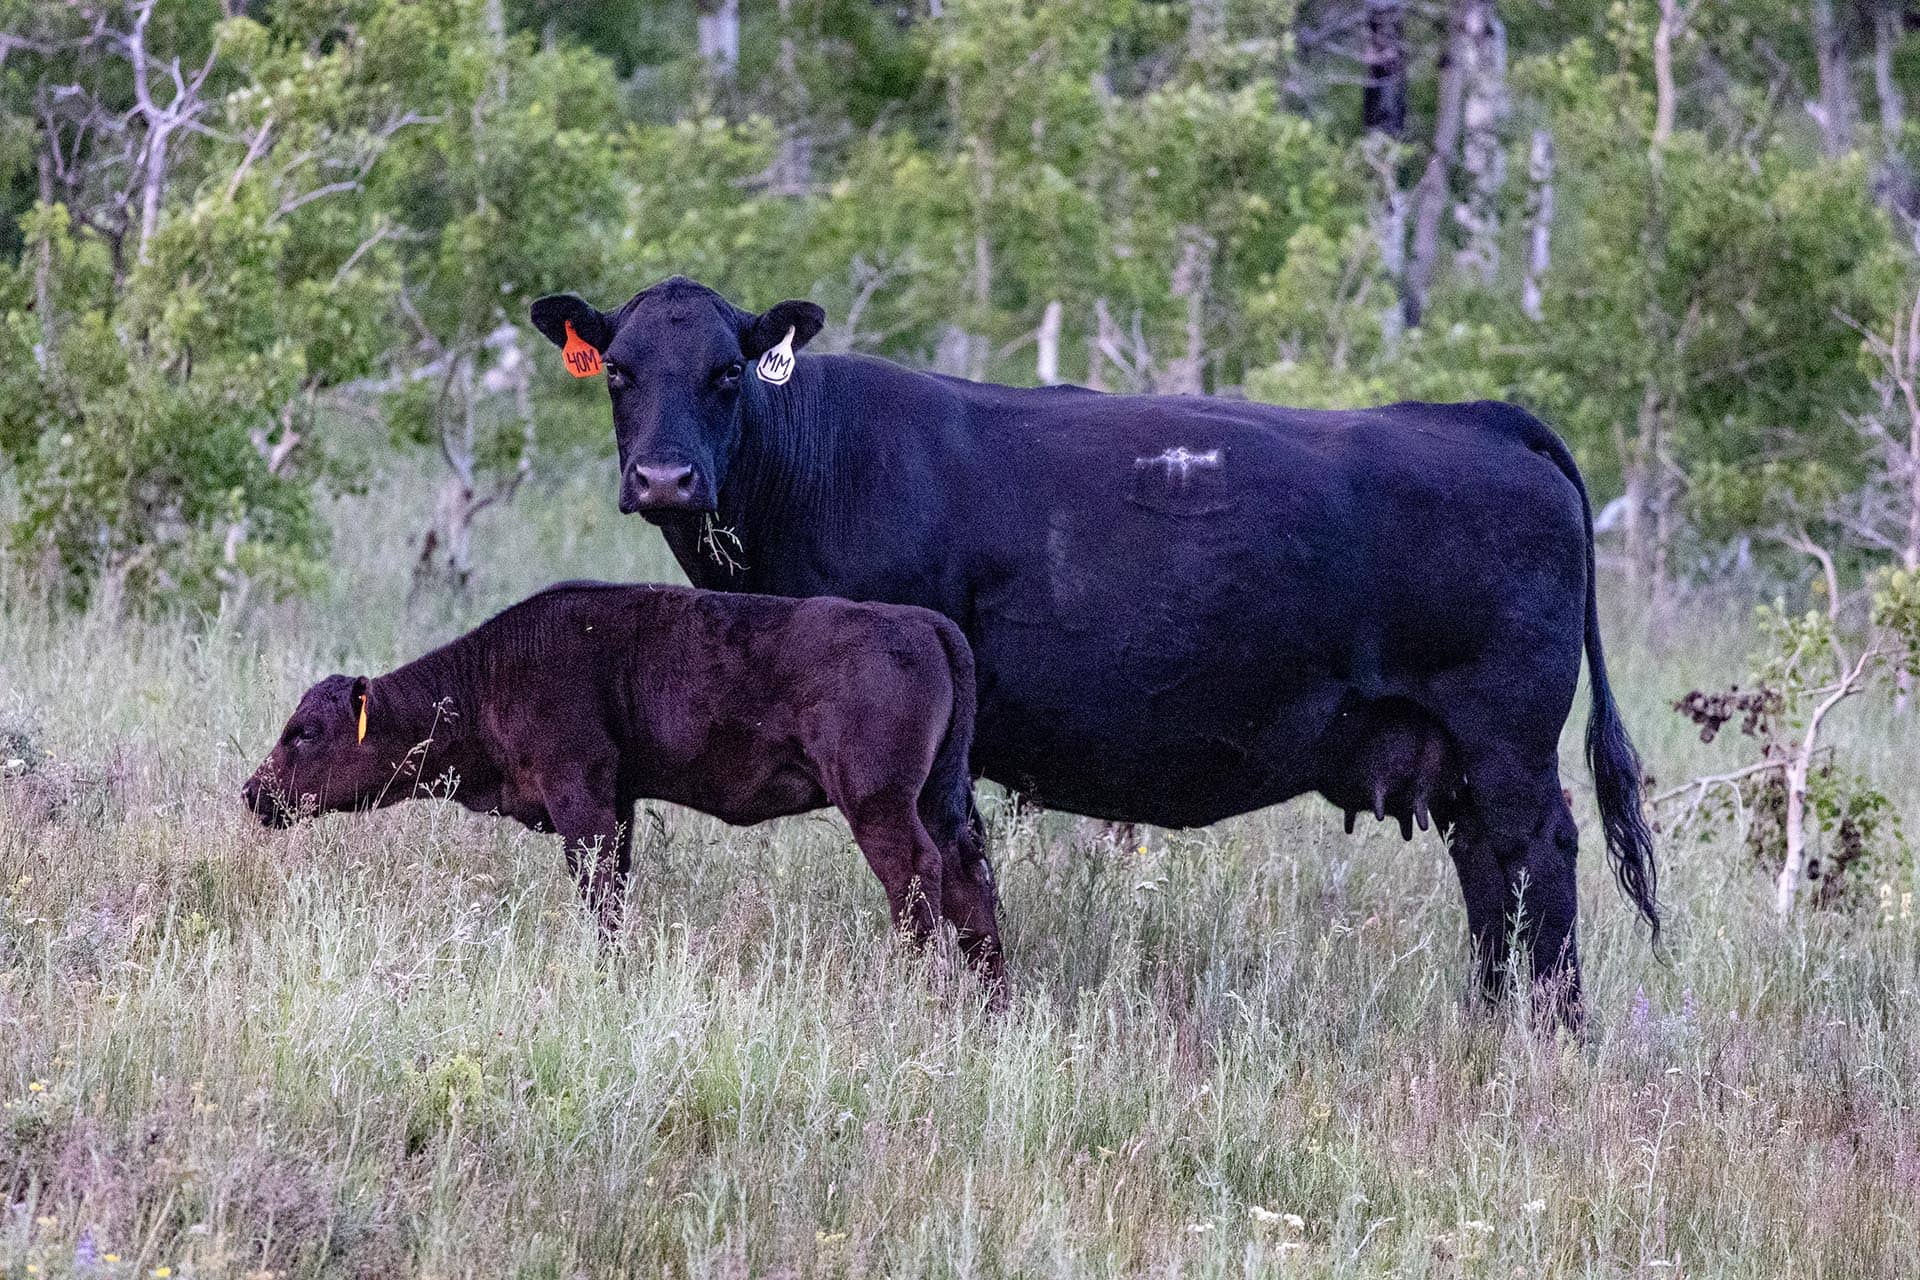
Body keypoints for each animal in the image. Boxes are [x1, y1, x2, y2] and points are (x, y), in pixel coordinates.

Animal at [241, 581, 1004, 991]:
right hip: (938, 802)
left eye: (305, 731)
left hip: (877, 804)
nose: (253, 793)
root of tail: (923, 623)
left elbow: (599, 893)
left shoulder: (580, 797)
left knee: (916, 874)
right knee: (970, 879)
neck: (490, 672)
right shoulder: (622, 804)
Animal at [528, 276, 1660, 1026]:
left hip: (1508, 738)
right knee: (1489, 876)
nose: (664, 477)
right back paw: (1489, 1024)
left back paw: (1549, 1035)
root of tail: (1483, 418)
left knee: (1538, 861)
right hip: (1456, 755)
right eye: (619, 372)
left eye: (726, 372)